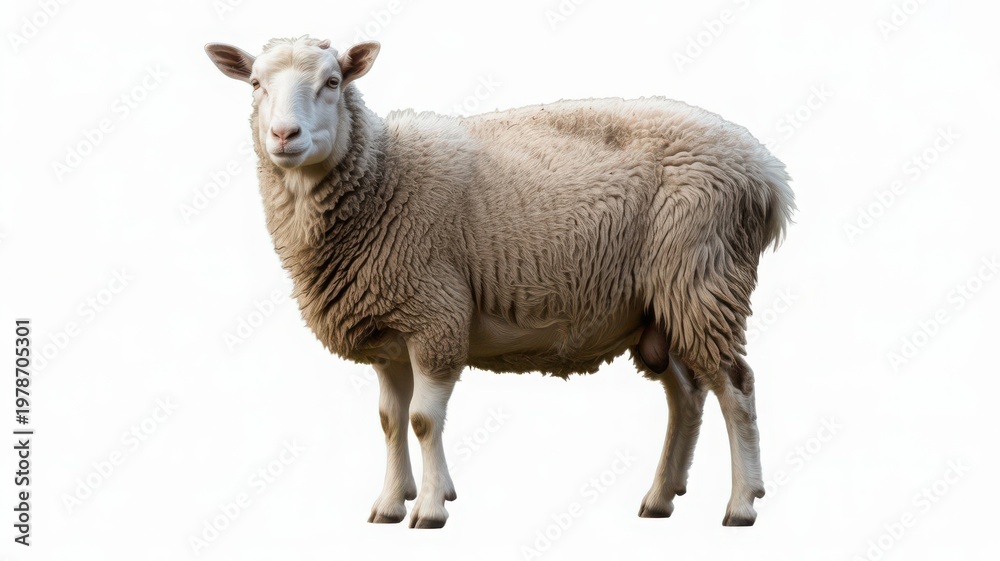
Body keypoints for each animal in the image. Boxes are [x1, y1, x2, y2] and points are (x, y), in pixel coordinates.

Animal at [205, 35, 795, 529]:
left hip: (701, 276)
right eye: (255, 83)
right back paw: (660, 497)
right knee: (687, 397)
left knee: (736, 389)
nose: (285, 136)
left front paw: (430, 508)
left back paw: (742, 504)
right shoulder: (389, 332)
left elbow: (423, 420)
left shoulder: (436, 315)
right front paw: (391, 504)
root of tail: (766, 173)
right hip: (660, 305)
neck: (382, 178)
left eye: (332, 82)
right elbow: (390, 421)